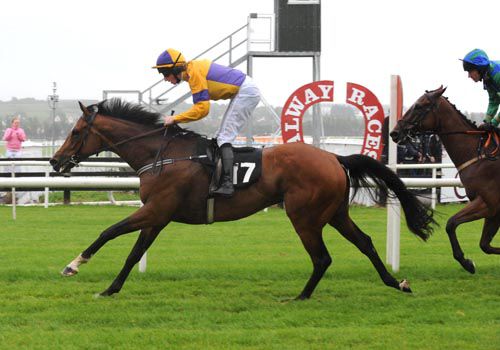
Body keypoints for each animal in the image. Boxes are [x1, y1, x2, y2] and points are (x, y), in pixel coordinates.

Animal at [48, 98, 436, 298]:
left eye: (76, 132)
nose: (54, 161)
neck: (163, 155)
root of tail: (334, 157)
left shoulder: (156, 210)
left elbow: (109, 232)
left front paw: (73, 265)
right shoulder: (157, 216)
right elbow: (133, 253)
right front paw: (111, 288)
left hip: (305, 216)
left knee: (322, 257)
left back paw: (300, 296)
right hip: (335, 212)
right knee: (365, 243)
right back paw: (396, 282)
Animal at [390, 86, 500, 272]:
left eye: (419, 106)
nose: (394, 132)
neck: (479, 155)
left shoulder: (487, 203)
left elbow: (451, 223)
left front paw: (465, 261)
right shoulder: (492, 209)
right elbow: (484, 244)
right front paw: (468, 262)